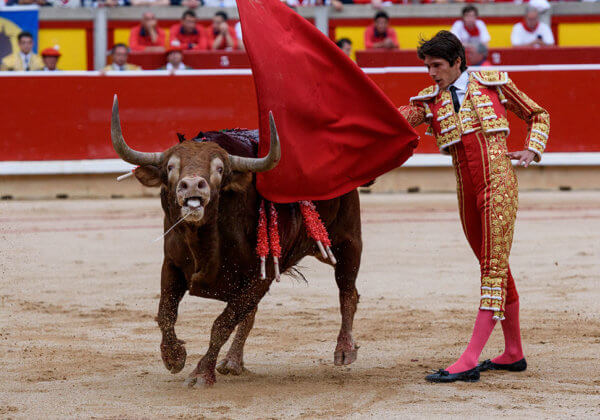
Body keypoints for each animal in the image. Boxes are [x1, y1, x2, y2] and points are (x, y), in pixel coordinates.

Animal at [110, 97, 364, 388]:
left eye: (219, 169)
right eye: (171, 167)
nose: (192, 185)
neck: (204, 240)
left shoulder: (261, 276)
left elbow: (222, 323)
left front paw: (201, 373)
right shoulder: (172, 264)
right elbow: (166, 313)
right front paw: (173, 357)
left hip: (347, 241)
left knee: (347, 290)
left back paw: (344, 350)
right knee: (250, 315)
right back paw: (232, 361)